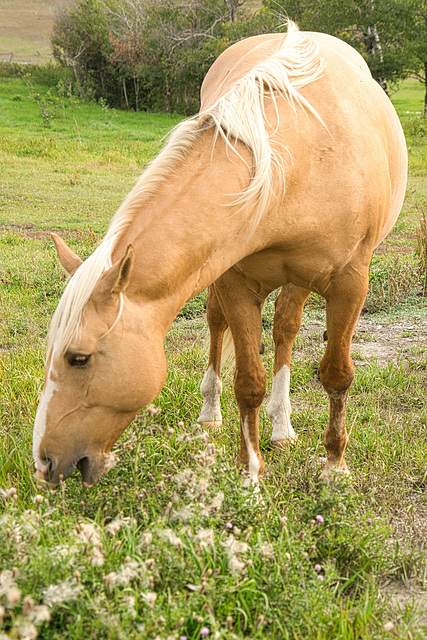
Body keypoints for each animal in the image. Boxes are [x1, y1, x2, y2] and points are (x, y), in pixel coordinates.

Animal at [32, 22, 408, 488]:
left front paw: (335, 466)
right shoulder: (234, 281)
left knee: (285, 328)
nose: (44, 461)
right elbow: (248, 381)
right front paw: (250, 476)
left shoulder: (350, 285)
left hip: (301, 280)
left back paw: (283, 428)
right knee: (219, 324)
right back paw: (213, 414)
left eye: (78, 358)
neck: (298, 163)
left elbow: (337, 374)